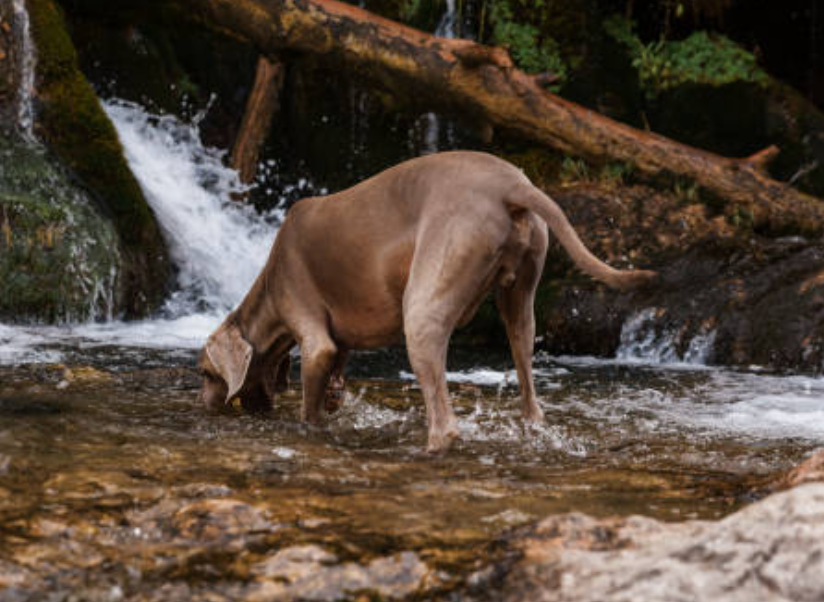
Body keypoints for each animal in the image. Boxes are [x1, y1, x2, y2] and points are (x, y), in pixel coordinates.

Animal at [196, 150, 652, 450]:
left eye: (204, 373)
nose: (205, 407)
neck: (268, 286)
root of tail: (512, 184)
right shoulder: (338, 342)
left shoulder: (310, 328)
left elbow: (311, 406)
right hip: (520, 299)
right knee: (529, 385)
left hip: (423, 308)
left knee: (444, 422)